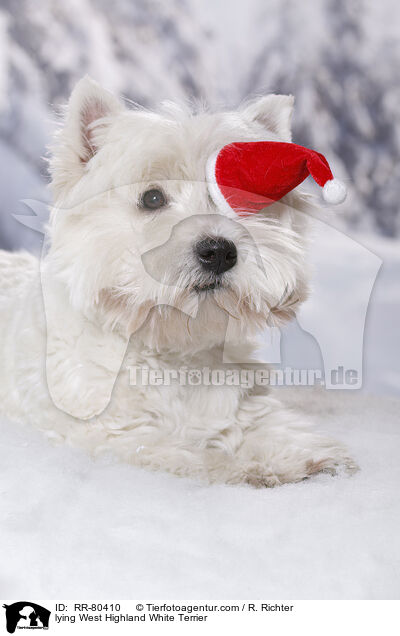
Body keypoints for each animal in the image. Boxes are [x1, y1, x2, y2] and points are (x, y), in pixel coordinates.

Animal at [0, 78, 356, 486]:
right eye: (152, 197)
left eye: (240, 200)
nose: (219, 251)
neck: (176, 350)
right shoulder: (113, 437)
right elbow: (197, 459)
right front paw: (247, 469)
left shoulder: (243, 405)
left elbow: (269, 426)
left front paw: (311, 457)